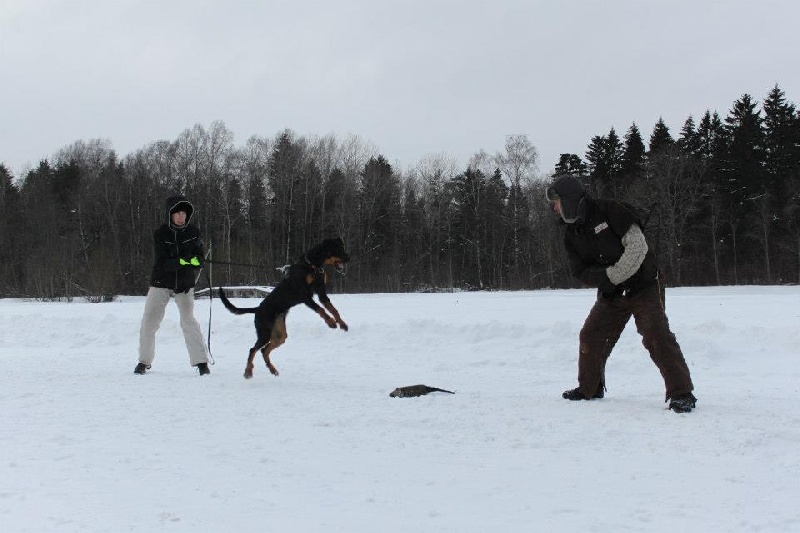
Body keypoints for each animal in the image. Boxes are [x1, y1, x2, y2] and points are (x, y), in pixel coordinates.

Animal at [219, 237, 350, 378]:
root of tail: (257, 309)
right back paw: (248, 371)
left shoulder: (322, 294)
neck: (313, 266)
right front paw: (331, 322)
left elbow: (333, 310)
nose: (348, 258)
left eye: (342, 247)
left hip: (279, 335)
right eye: (337, 249)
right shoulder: (305, 296)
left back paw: (272, 369)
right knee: (253, 349)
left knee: (264, 350)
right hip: (264, 332)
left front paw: (342, 324)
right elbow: (321, 310)